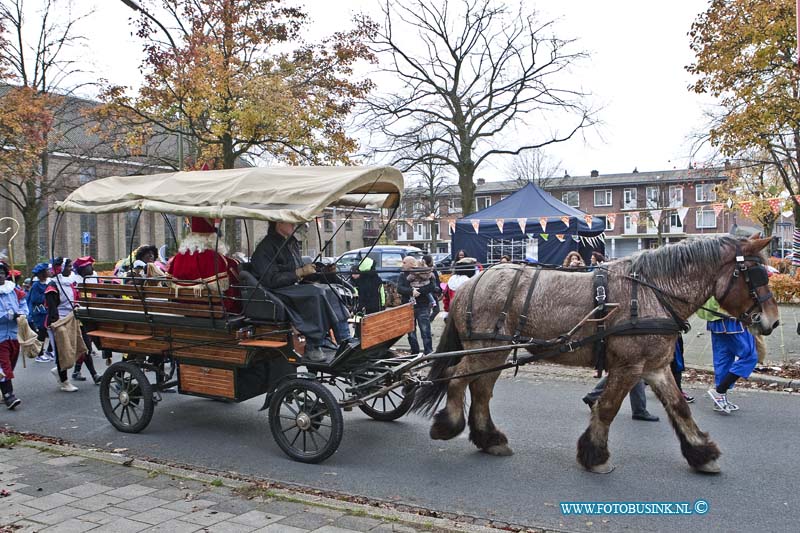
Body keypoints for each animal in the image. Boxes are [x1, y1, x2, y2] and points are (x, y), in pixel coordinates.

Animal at [416, 235, 780, 472]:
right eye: (753, 275)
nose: (773, 321)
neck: (652, 292)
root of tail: (472, 282)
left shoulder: (655, 367)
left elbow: (679, 407)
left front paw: (701, 453)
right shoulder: (629, 367)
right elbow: (606, 408)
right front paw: (595, 455)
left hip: (493, 353)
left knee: (480, 389)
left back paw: (489, 438)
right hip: (484, 349)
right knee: (456, 378)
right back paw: (449, 424)